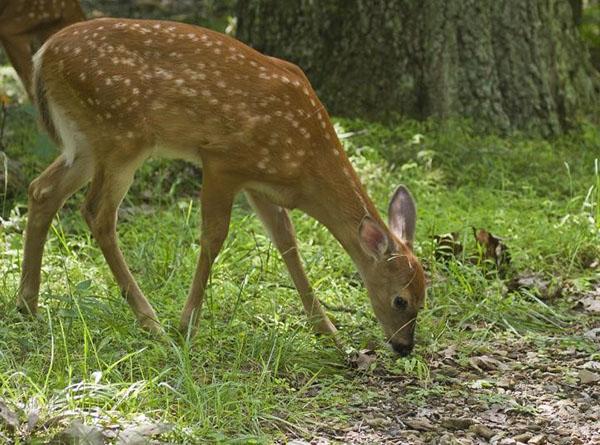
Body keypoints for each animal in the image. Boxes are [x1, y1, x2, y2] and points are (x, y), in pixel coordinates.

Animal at [18, 19, 426, 356]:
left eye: (425, 296)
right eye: (401, 300)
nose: (404, 347)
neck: (306, 163)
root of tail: (42, 54)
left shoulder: (260, 184)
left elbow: (288, 244)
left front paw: (330, 335)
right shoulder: (222, 161)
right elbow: (214, 238)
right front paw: (187, 326)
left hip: (86, 143)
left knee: (42, 190)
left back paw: (27, 305)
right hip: (121, 136)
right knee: (97, 213)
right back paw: (152, 323)